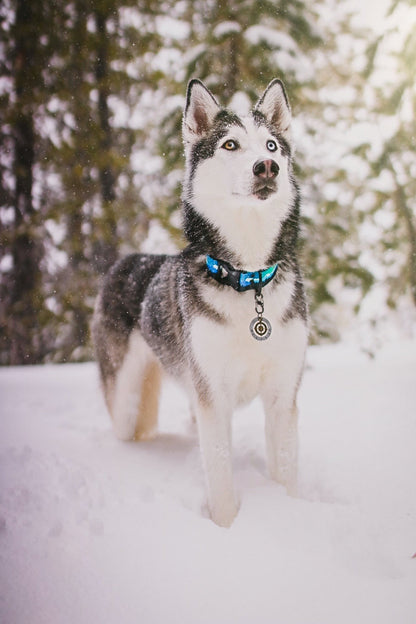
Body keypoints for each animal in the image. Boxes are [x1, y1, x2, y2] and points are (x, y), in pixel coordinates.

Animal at [93, 78, 308, 528]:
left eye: (272, 145)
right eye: (230, 144)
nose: (267, 167)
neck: (248, 279)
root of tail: (125, 260)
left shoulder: (283, 393)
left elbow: (285, 470)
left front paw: (289, 515)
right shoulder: (213, 395)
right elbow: (221, 477)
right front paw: (226, 528)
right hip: (125, 398)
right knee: (125, 426)